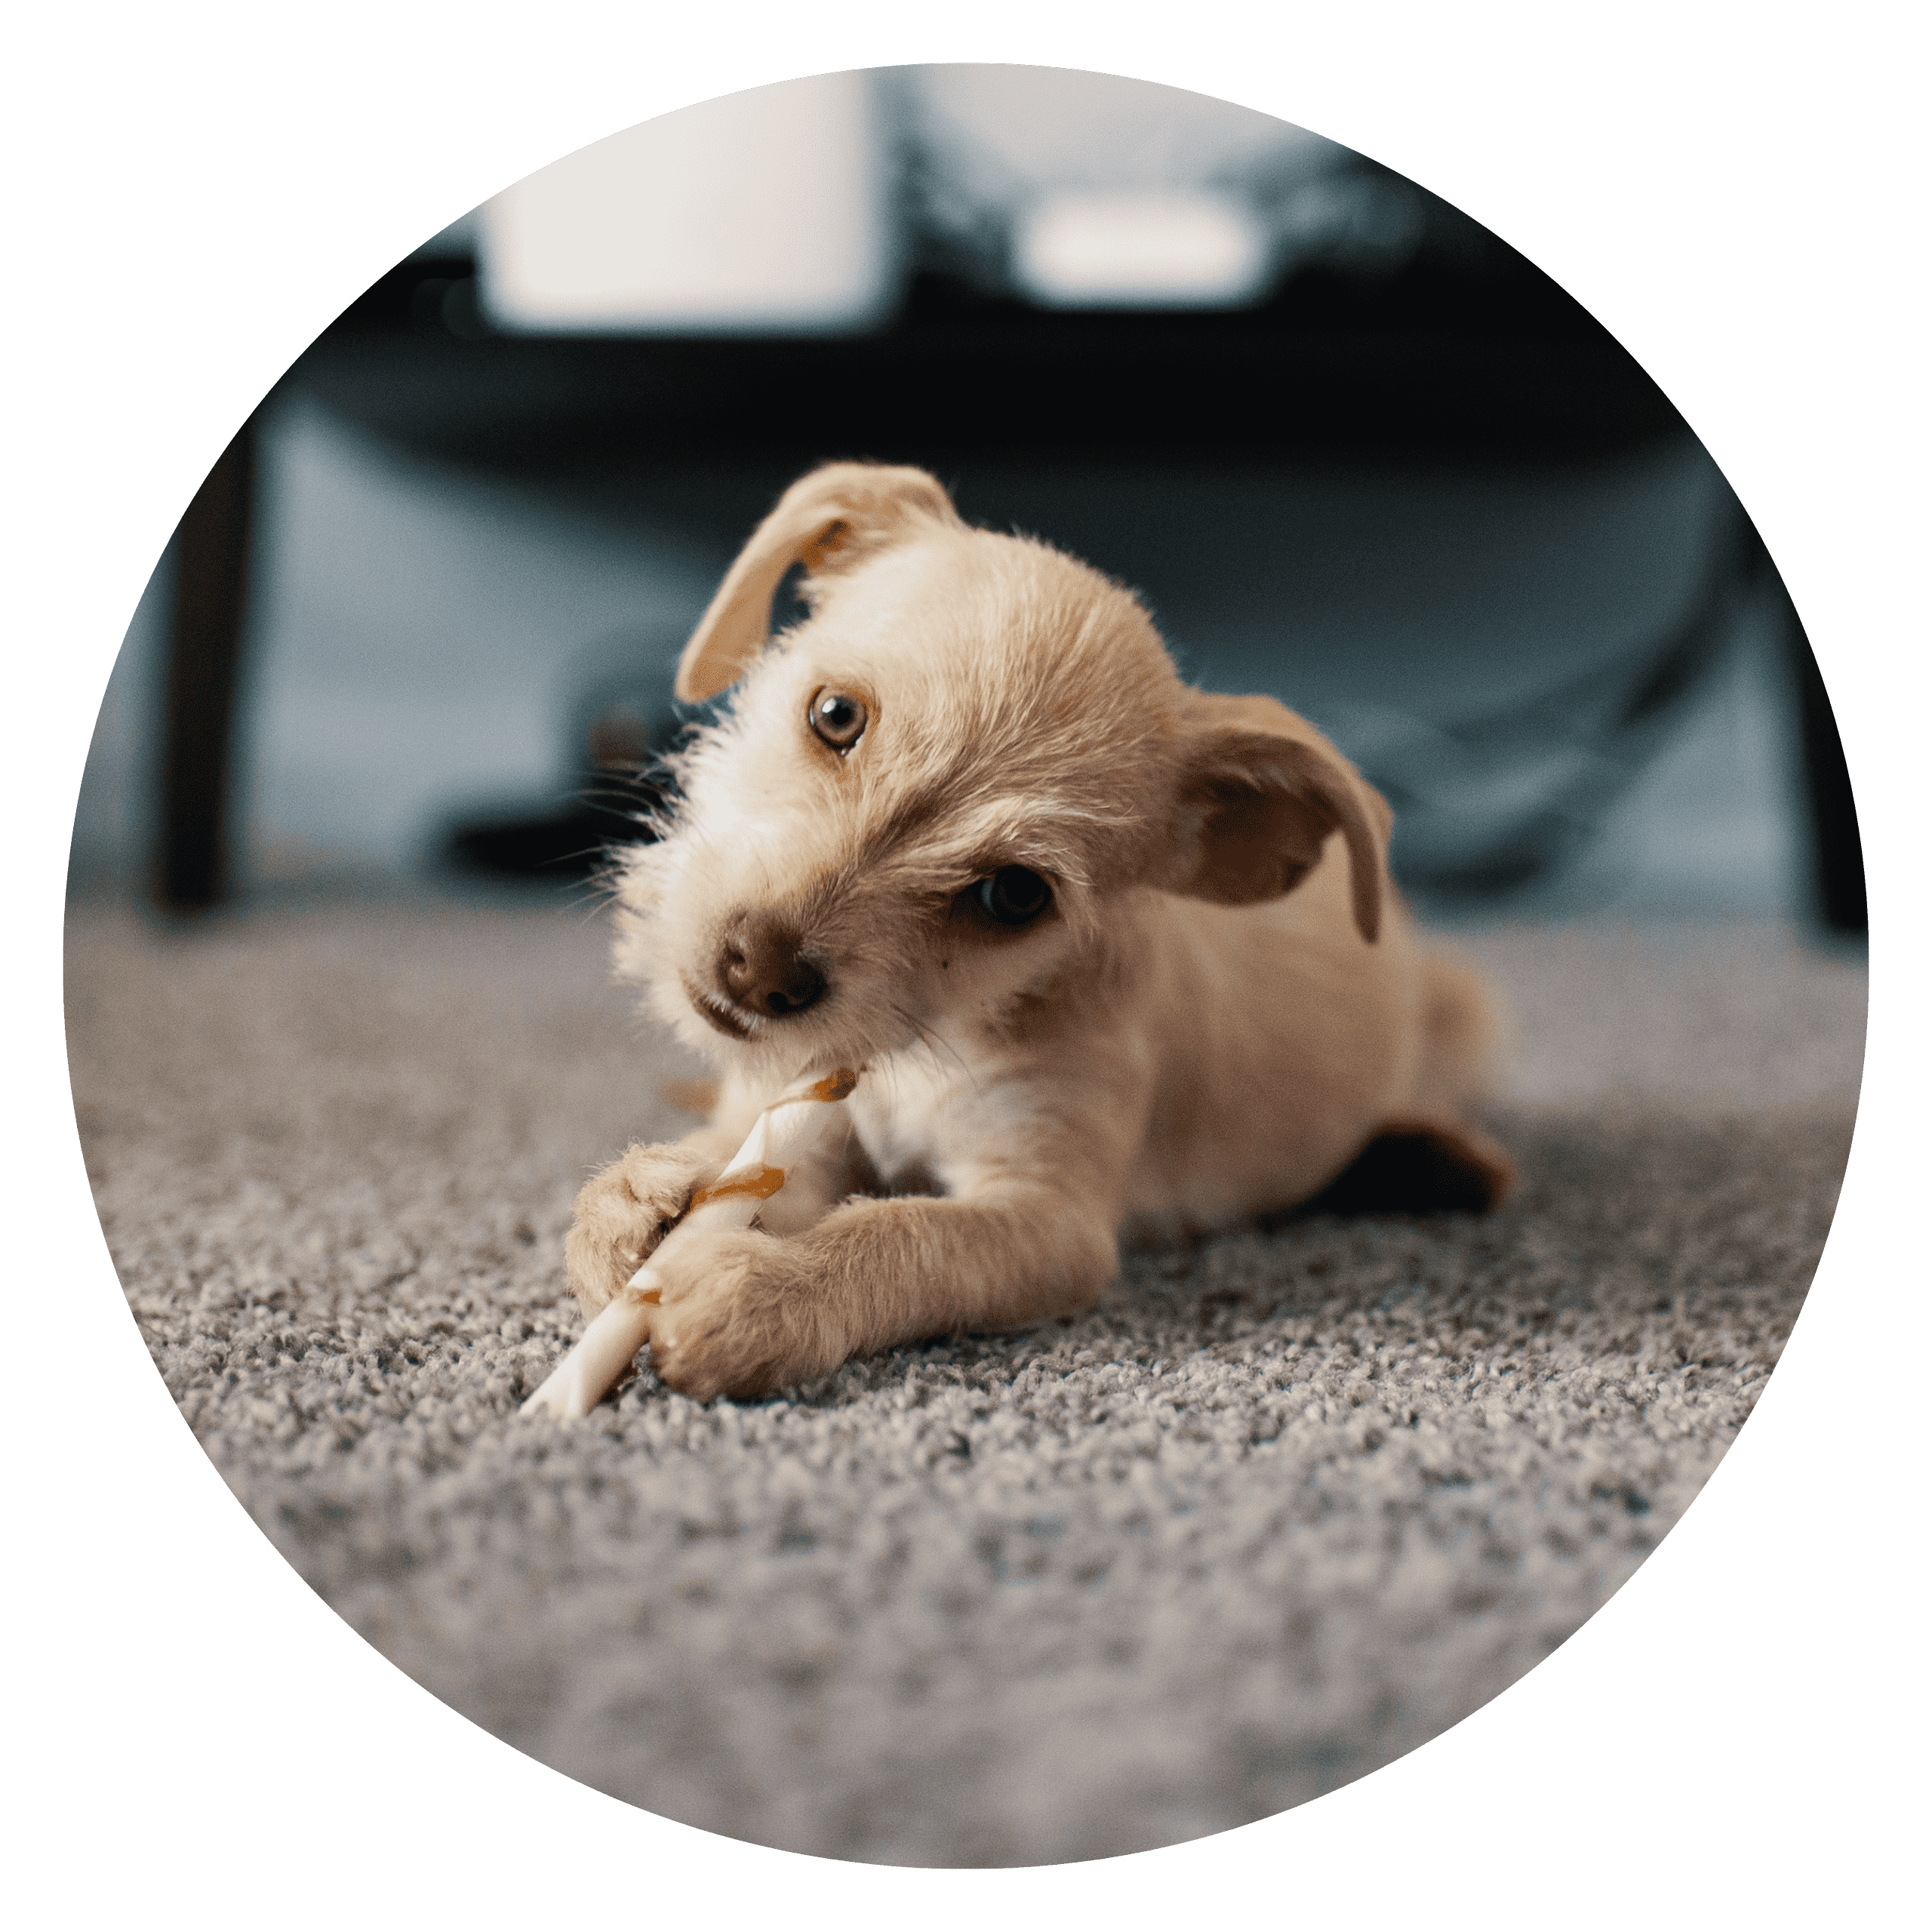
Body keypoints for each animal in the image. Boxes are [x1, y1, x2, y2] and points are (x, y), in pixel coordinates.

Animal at [564, 467, 1515, 1406]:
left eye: (1015, 895)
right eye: (834, 715)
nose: (757, 971)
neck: (928, 1044)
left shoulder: (1047, 1219)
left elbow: (899, 1237)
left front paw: (762, 1291)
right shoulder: (793, 1118)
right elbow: (734, 1162)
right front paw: (639, 1200)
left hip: (1465, 1009)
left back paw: (1428, 1160)